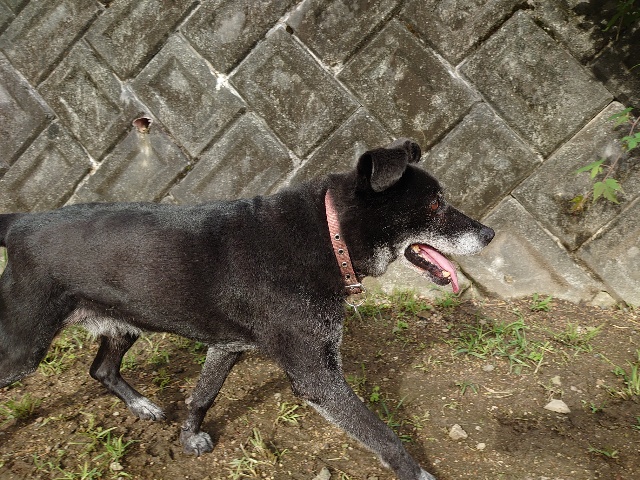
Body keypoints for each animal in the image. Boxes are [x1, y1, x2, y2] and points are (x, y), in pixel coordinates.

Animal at [0, 138, 493, 480]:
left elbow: (202, 396)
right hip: (23, 347)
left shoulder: (228, 345)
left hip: (124, 324)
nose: (489, 234)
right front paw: (418, 472)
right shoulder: (316, 376)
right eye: (435, 205)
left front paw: (189, 437)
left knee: (100, 368)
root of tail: (20, 222)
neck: (327, 235)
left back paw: (142, 406)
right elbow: (383, 435)